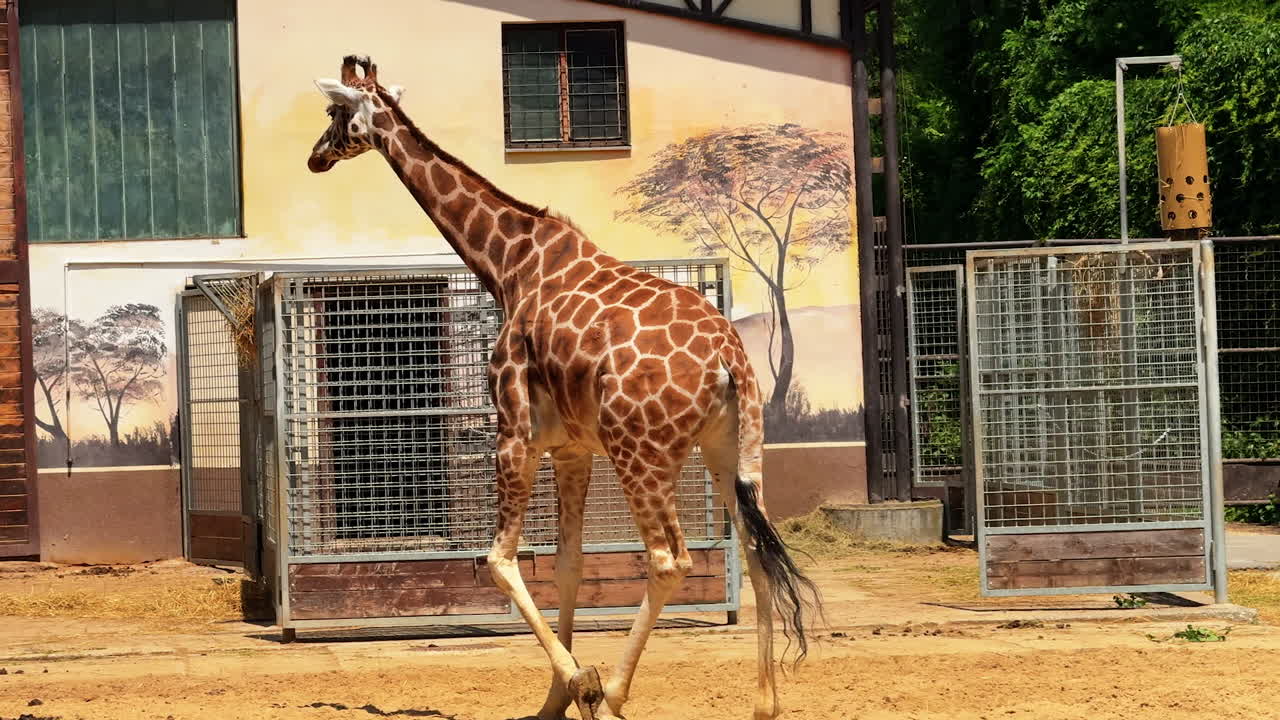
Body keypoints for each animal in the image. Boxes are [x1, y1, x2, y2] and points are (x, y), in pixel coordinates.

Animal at [307, 56, 820, 720]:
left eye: (333, 112)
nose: (315, 158)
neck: (507, 265)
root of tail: (731, 359)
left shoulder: (515, 432)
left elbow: (501, 561)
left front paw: (584, 683)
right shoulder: (574, 448)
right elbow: (569, 564)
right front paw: (558, 696)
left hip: (641, 453)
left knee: (670, 559)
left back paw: (617, 693)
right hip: (730, 450)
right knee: (757, 553)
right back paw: (763, 704)